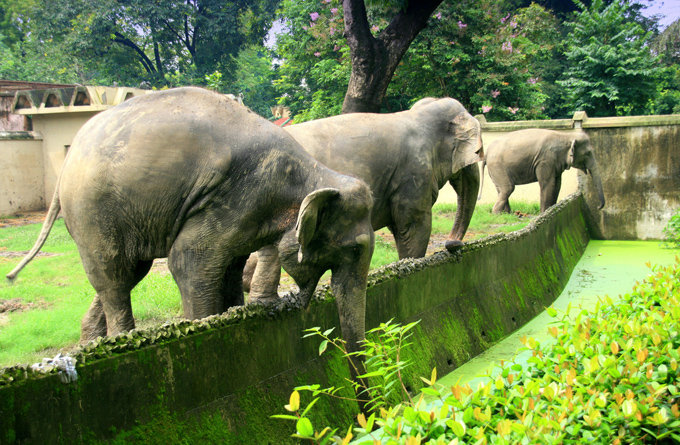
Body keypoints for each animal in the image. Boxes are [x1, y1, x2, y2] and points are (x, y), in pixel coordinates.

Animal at [6, 86, 378, 354]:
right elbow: (189, 264)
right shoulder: (237, 196)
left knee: (127, 273)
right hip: (93, 212)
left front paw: (234, 315)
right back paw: (120, 341)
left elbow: (229, 268)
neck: (313, 172)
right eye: (354, 249)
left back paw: (92, 343)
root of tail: (63, 170)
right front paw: (205, 328)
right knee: (114, 276)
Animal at [244, 95, 484, 300]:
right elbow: (412, 227)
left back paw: (265, 303)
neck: (419, 113)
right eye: (477, 152)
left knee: (268, 249)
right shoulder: (413, 174)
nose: (452, 245)